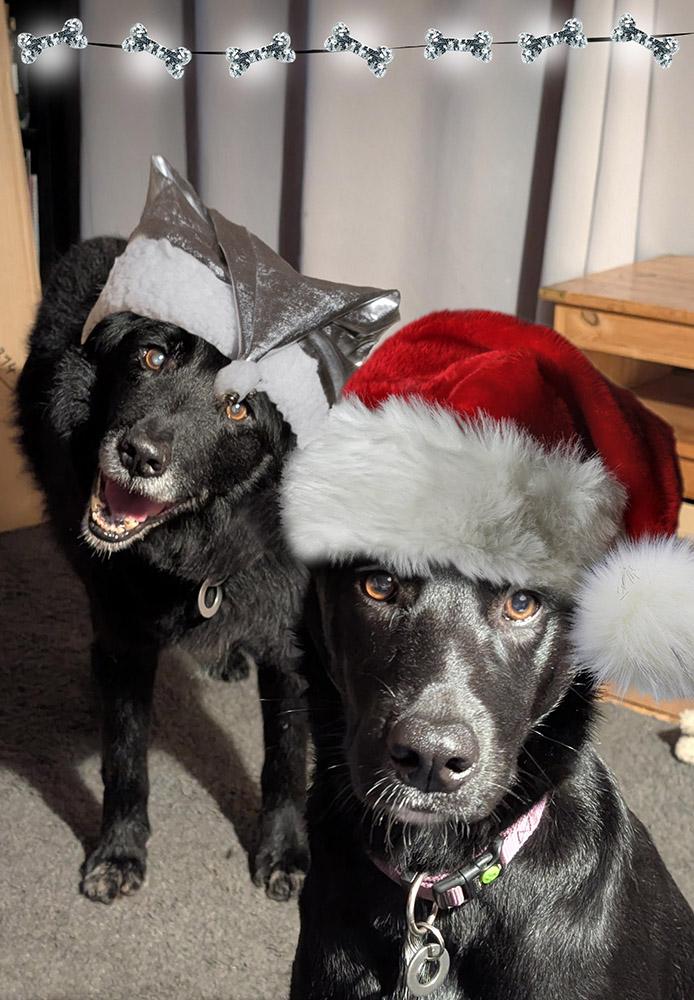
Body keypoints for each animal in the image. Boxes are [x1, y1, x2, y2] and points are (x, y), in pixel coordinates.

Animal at [16, 237, 310, 903]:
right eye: (151, 357)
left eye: (238, 407)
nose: (138, 455)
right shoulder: (126, 641)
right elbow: (126, 758)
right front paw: (119, 852)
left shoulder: (290, 648)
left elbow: (285, 758)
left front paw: (283, 851)